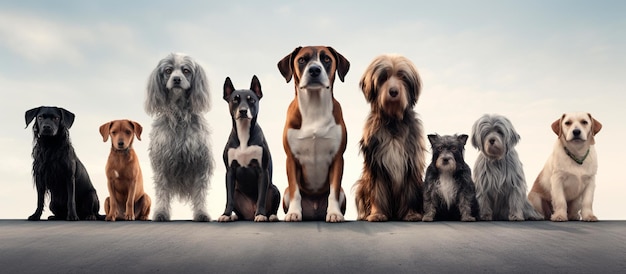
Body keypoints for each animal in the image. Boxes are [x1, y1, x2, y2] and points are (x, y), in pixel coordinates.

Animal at [144, 52, 214, 222]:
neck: (179, 115)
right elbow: (162, 192)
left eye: (186, 70)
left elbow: (200, 192)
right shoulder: (161, 162)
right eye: (168, 70)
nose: (176, 79)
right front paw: (161, 213)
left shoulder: (201, 162)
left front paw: (201, 213)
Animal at [218, 75, 280, 223]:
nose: (243, 111)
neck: (244, 132)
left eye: (251, 99)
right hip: (237, 192)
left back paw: (271, 216)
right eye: (235, 99)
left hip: (274, 189)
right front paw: (226, 214)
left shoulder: (262, 171)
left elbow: (261, 197)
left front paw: (261, 215)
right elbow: (229, 198)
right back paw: (235, 216)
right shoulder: (230, 171)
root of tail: (250, 214)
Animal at [278, 46, 352, 223]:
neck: (314, 106)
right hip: (285, 193)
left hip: (343, 193)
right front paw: (293, 213)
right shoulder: (291, 158)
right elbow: (295, 190)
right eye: (302, 60)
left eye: (326, 59)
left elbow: (333, 191)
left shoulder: (337, 158)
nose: (314, 70)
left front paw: (334, 213)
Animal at [354, 54, 426, 222]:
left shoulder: (411, 163)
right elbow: (377, 191)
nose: (393, 91)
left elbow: (410, 192)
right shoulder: (376, 164)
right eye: (383, 77)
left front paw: (412, 214)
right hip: (361, 185)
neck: (393, 120)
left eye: (402, 76)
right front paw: (377, 214)